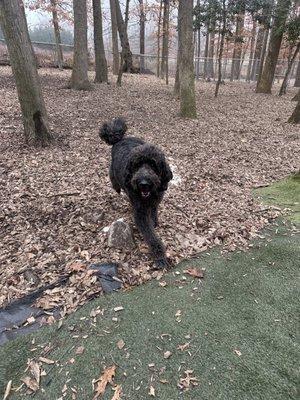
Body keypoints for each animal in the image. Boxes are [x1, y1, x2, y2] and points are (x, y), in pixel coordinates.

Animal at [99, 118, 172, 268]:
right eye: (137, 166)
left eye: (153, 165)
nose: (143, 183)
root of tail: (119, 139)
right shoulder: (140, 213)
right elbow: (150, 235)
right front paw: (160, 256)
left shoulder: (156, 200)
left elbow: (154, 211)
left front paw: (154, 220)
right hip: (113, 172)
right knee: (114, 180)